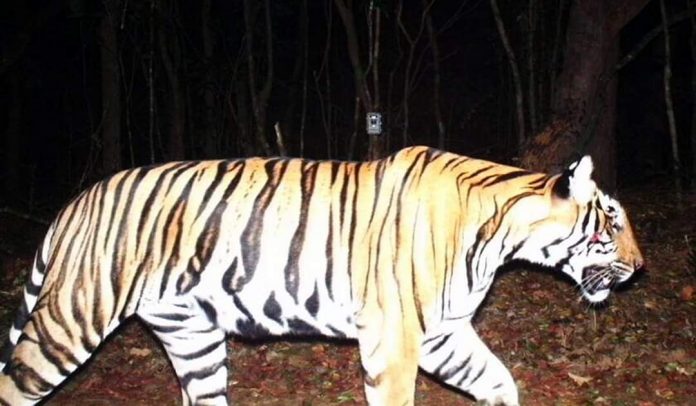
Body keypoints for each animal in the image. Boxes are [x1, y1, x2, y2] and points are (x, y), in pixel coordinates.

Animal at [0, 146, 643, 405]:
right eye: (612, 222)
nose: (641, 267)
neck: (502, 234)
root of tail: (77, 201)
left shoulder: (442, 335)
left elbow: (498, 381)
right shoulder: (395, 341)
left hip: (192, 337)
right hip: (70, 321)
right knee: (16, 382)